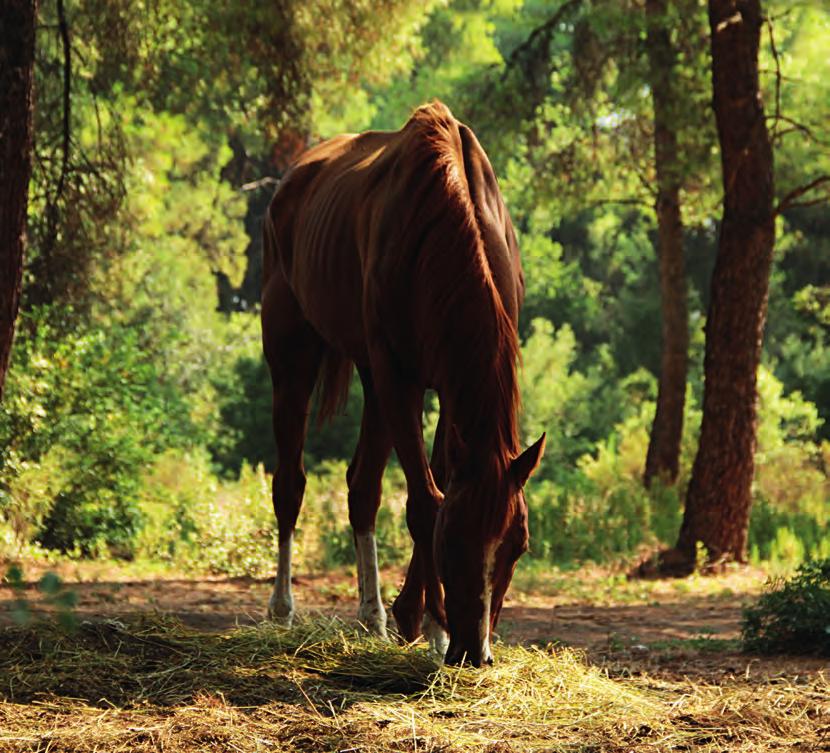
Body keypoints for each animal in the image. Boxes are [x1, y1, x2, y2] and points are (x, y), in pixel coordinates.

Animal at [262, 100, 544, 664]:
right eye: (451, 542)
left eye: (518, 546)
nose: (475, 650)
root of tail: (290, 182)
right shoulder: (401, 378)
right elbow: (423, 503)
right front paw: (433, 625)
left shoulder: (448, 390)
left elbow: (434, 484)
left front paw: (422, 623)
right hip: (293, 356)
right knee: (291, 484)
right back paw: (283, 610)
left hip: (371, 380)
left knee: (361, 487)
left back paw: (371, 616)